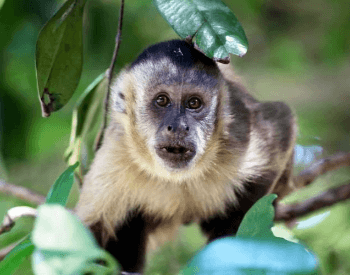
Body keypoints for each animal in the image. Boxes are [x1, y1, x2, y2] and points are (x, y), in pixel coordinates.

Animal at [75, 40, 296, 274]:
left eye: (194, 103)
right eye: (162, 101)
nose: (180, 126)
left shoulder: (238, 134)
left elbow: (282, 121)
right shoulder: (117, 152)